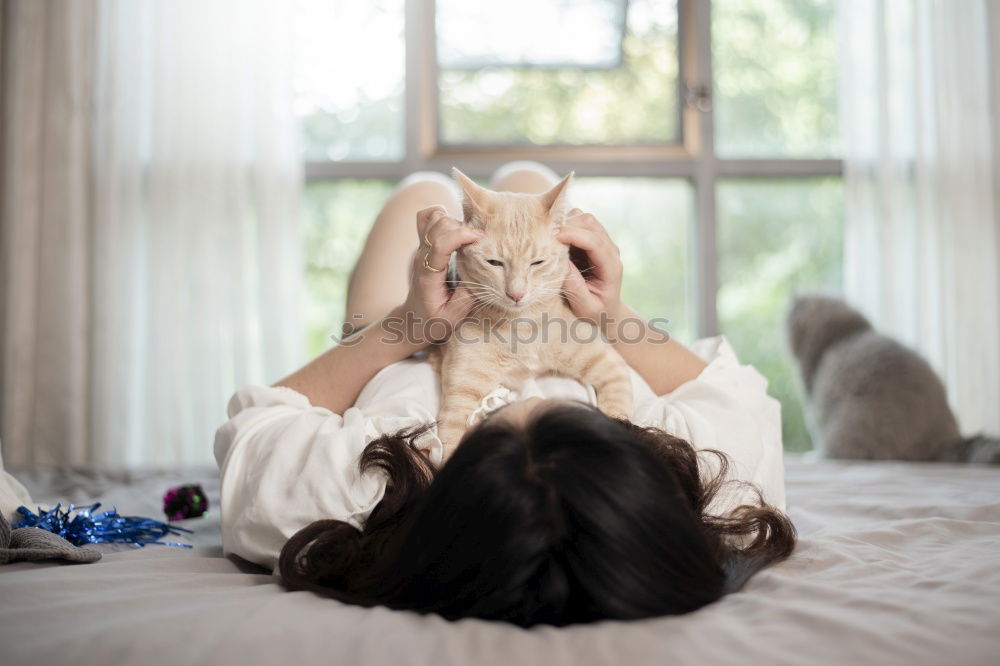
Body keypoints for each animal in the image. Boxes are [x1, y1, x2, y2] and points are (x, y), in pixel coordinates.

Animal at [430, 169, 632, 454]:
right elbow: (448, 443)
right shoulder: (460, 392)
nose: (516, 294)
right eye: (494, 263)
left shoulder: (610, 366)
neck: (522, 327)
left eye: (537, 263)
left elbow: (619, 409)